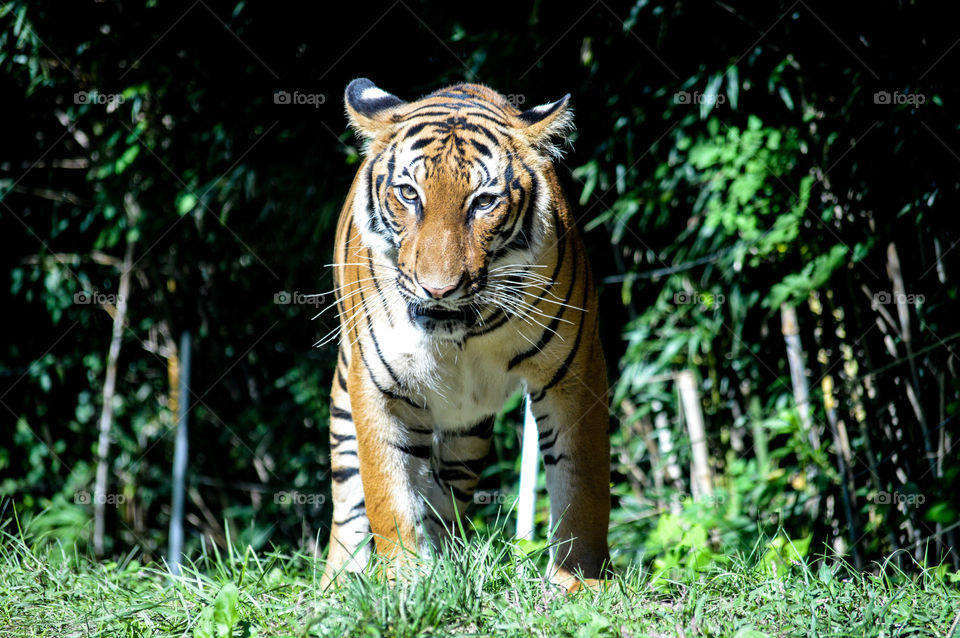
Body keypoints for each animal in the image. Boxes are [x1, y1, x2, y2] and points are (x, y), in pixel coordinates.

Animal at [319, 78, 611, 592]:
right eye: (408, 194)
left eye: (484, 202)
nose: (439, 289)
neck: (463, 336)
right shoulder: (377, 386)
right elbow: (388, 493)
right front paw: (407, 583)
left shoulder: (574, 373)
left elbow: (582, 485)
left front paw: (581, 583)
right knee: (351, 500)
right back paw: (340, 583)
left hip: (467, 431)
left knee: (446, 496)